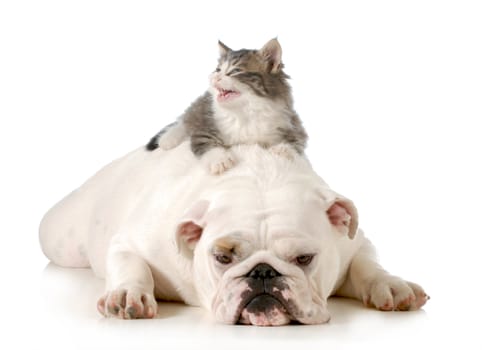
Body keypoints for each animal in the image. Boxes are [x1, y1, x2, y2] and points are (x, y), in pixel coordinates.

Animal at [145, 39, 306, 175]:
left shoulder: (292, 121)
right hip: (201, 106)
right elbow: (205, 141)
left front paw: (283, 150)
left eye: (235, 71)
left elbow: (298, 140)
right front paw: (220, 160)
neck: (245, 112)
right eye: (218, 70)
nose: (215, 77)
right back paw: (168, 138)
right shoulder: (205, 124)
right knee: (185, 119)